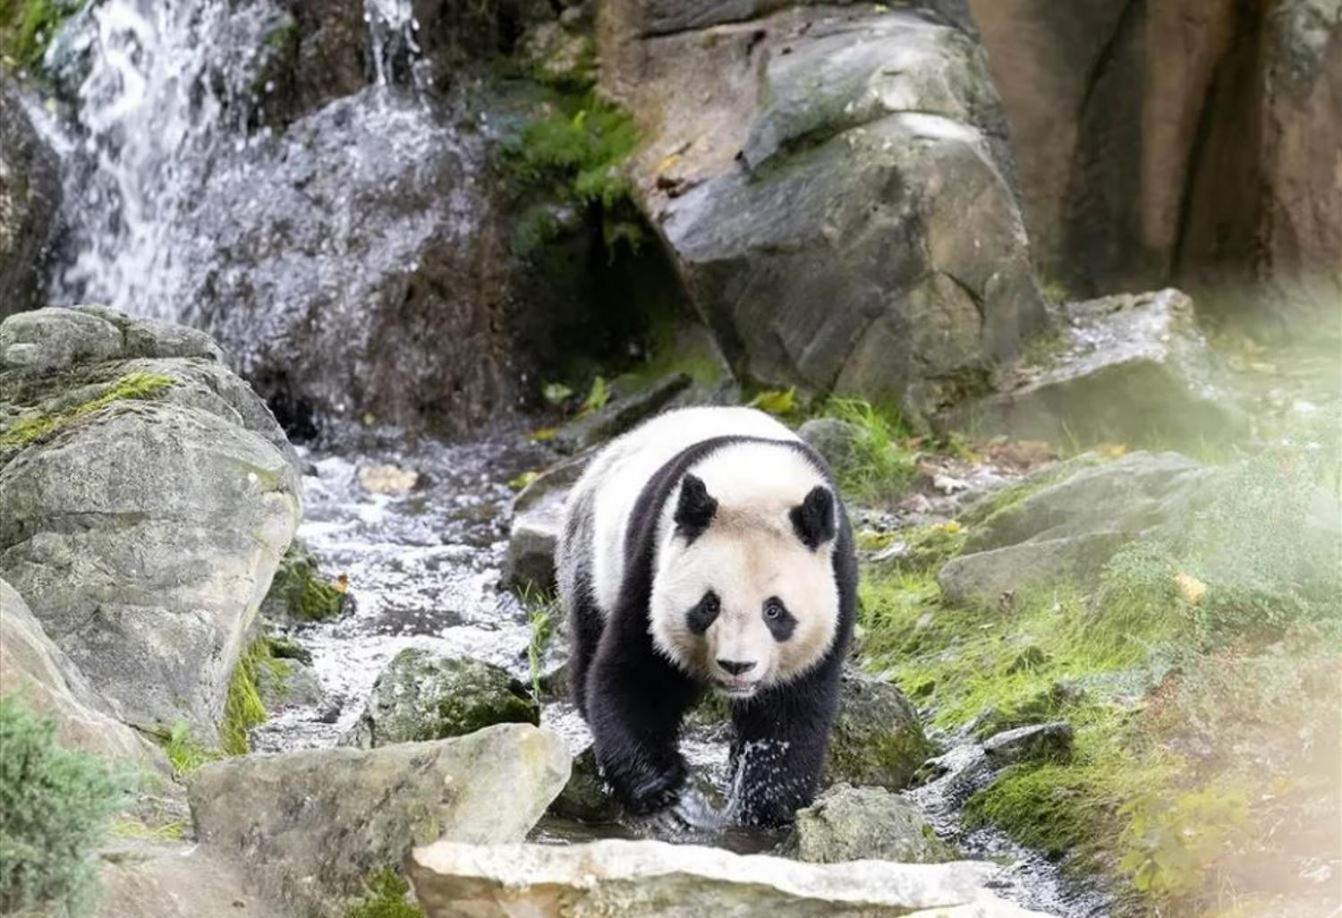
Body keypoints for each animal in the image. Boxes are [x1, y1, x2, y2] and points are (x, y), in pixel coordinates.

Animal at [558, 405, 858, 826]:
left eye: (774, 610)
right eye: (708, 605)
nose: (737, 666)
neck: (755, 481)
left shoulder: (837, 576)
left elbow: (791, 708)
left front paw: (766, 804)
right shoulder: (651, 562)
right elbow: (638, 674)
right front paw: (660, 787)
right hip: (591, 554)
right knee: (589, 638)